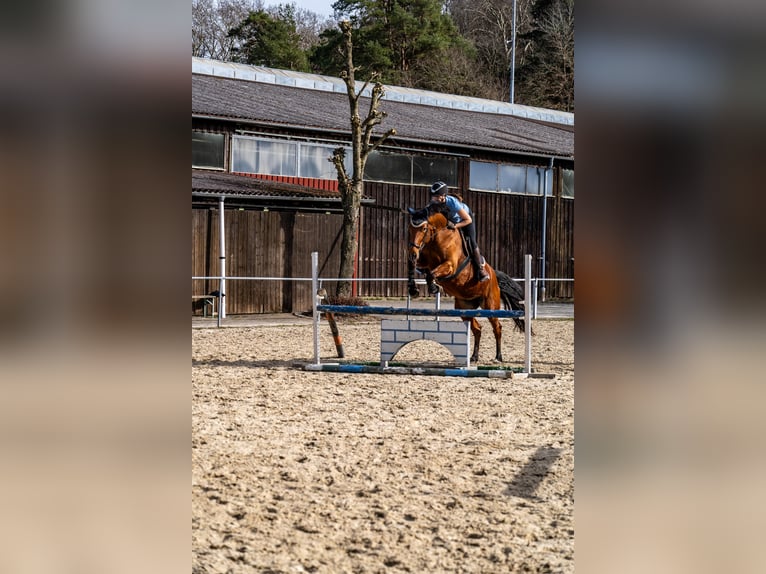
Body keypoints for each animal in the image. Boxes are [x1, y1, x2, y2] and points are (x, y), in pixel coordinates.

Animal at [406, 204, 526, 363]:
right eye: (409, 228)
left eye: (424, 228)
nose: (412, 253)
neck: (438, 238)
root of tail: (494, 276)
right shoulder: (423, 262)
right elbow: (417, 268)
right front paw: (413, 289)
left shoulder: (450, 266)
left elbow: (432, 273)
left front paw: (434, 287)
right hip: (464, 308)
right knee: (477, 329)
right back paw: (474, 356)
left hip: (490, 306)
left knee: (497, 328)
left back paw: (498, 357)